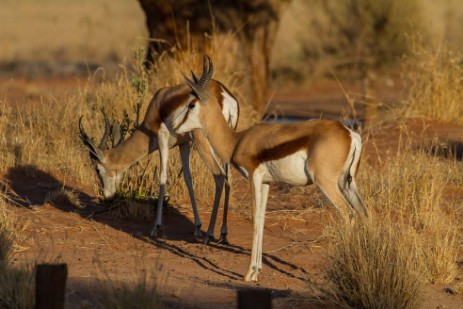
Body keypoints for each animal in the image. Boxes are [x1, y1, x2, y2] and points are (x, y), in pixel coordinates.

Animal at [77, 77, 239, 243]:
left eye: (97, 169)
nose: (107, 197)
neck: (159, 106)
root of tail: (223, 94)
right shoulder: (184, 144)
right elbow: (188, 179)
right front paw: (197, 226)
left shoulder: (162, 139)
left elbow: (162, 177)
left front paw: (156, 227)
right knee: (228, 179)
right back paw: (223, 234)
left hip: (204, 142)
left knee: (219, 176)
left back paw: (210, 235)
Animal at [169, 56, 368, 282]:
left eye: (191, 104)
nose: (173, 126)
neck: (237, 140)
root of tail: (350, 134)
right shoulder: (266, 183)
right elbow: (263, 219)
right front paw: (257, 270)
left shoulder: (253, 178)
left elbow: (255, 219)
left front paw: (249, 273)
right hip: (347, 183)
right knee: (363, 213)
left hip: (327, 183)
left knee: (348, 214)